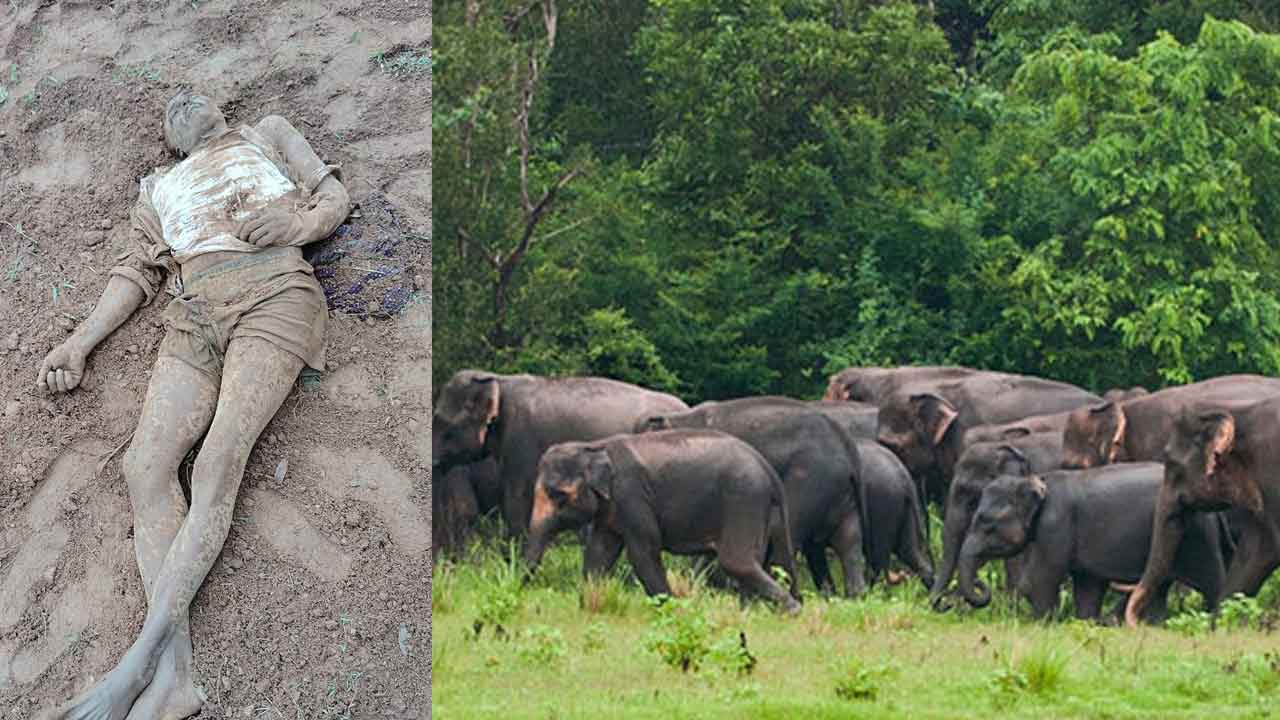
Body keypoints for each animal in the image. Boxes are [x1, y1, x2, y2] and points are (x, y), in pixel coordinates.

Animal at [523, 430, 801, 613]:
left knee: (737, 561)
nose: (519, 588)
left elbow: (643, 552)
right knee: (762, 559)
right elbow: (599, 553)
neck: (594, 446)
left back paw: (790, 610)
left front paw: (672, 611)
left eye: (558, 495)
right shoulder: (612, 509)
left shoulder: (631, 496)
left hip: (743, 499)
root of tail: (767, 467)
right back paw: (750, 611)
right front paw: (587, 606)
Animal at [637, 396, 872, 597]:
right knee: (848, 541)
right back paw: (852, 597)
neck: (679, 417)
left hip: (810, 480)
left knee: (788, 536)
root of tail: (848, 449)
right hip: (841, 494)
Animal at [957, 463, 1230, 621]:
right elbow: (1088, 585)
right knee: (1159, 588)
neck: (1038, 479)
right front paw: (1085, 622)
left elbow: (1041, 578)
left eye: (986, 522)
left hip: (1197, 536)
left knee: (1212, 582)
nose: (982, 584)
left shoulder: (1056, 524)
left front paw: (1041, 624)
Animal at [1123, 397, 1280, 626]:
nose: (1139, 623)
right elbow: (1256, 551)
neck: (1240, 409)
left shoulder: (1271, 471)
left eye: (1171, 463)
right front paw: (1218, 625)